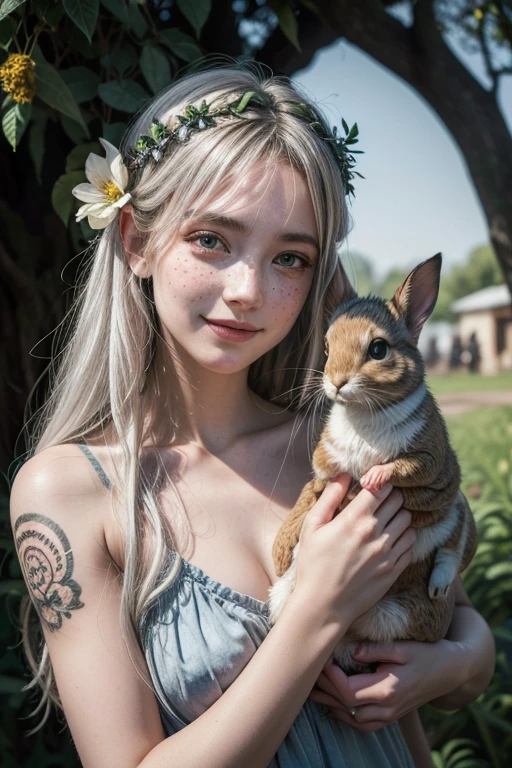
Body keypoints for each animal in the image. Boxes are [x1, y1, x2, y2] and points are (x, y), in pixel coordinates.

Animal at [270, 254, 478, 672]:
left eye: (378, 349)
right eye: (328, 345)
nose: (336, 382)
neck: (365, 413)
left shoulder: (433, 465)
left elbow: (406, 466)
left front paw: (371, 477)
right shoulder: (322, 469)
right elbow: (309, 490)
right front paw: (280, 552)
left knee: (457, 539)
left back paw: (439, 583)